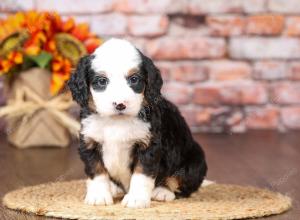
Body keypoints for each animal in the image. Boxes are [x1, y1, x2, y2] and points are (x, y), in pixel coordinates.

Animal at [68, 37, 206, 208]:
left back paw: (163, 191)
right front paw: (99, 196)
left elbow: (141, 175)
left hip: (195, 160)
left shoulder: (149, 145)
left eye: (134, 79)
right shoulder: (89, 142)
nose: (120, 104)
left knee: (181, 181)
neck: (116, 122)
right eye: (101, 81)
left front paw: (136, 199)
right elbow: (96, 171)